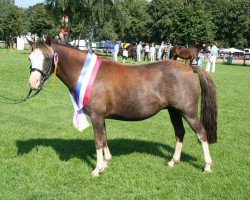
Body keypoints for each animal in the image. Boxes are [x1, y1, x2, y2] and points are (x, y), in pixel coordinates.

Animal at [26, 38, 216, 177]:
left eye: (48, 58)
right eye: (30, 58)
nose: (33, 82)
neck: (89, 74)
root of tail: (189, 69)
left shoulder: (96, 116)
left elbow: (98, 140)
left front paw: (97, 169)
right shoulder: (100, 117)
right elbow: (104, 138)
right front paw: (106, 162)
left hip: (188, 112)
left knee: (201, 134)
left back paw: (207, 166)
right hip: (174, 111)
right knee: (179, 133)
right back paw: (173, 161)